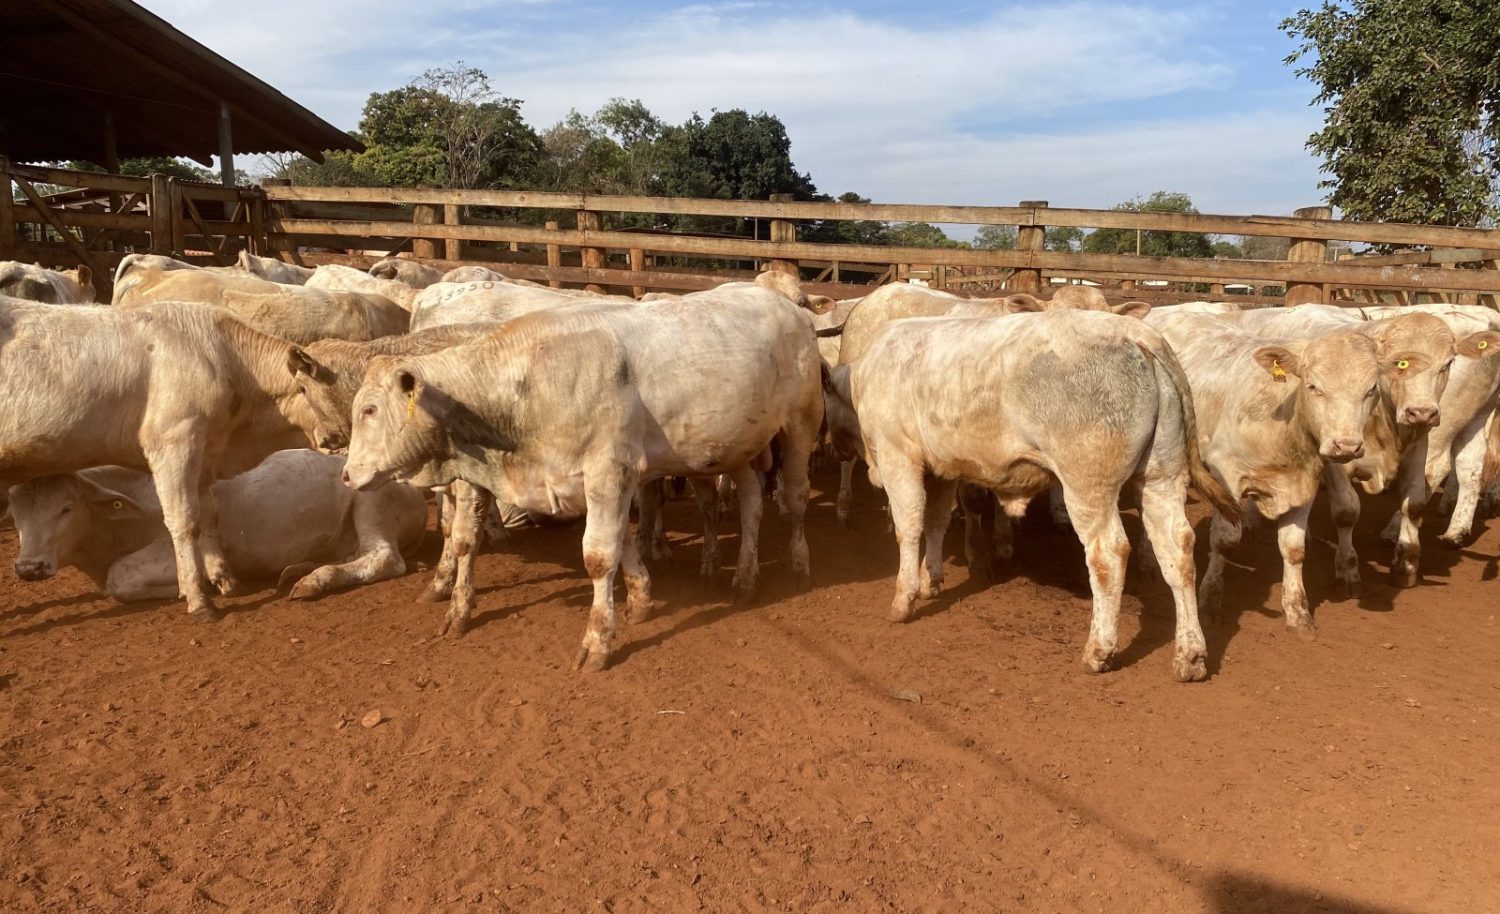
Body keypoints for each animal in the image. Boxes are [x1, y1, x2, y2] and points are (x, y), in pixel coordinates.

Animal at [10, 447, 423, 600]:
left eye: (65, 508)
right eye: (14, 512)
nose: (29, 567)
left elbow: (120, 578)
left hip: (369, 504)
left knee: (385, 558)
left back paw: (314, 580)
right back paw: (299, 569)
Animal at [340, 277, 822, 669]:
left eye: (370, 409)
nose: (345, 474)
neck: (526, 387)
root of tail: (786, 305)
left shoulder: (609, 474)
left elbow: (599, 556)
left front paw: (598, 641)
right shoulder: (496, 475)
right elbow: (464, 541)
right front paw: (458, 610)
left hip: (799, 428)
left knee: (796, 499)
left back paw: (799, 565)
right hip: (735, 449)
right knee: (752, 504)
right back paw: (745, 577)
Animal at [852, 306, 1236, 678]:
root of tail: (1136, 332)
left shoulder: (896, 454)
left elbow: (909, 525)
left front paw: (904, 598)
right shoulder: (942, 467)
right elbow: (935, 521)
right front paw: (930, 580)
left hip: (1087, 483)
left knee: (1108, 554)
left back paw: (1099, 651)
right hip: (1161, 475)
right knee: (1178, 549)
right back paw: (1190, 656)